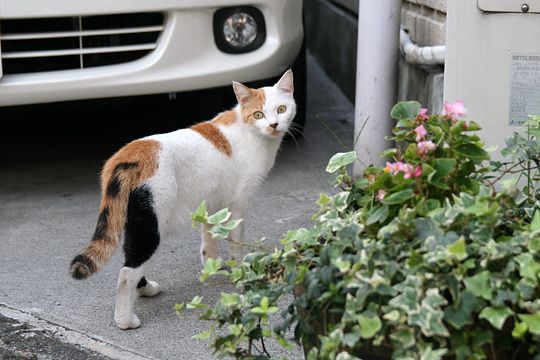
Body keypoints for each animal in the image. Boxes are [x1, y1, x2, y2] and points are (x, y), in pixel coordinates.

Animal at [69, 69, 298, 330]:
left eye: (281, 109)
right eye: (258, 114)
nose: (274, 124)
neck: (249, 129)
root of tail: (129, 157)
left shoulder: (212, 204)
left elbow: (209, 241)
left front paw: (213, 268)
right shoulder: (237, 206)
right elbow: (237, 244)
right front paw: (241, 273)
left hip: (134, 221)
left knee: (130, 258)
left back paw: (146, 289)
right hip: (151, 223)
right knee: (127, 272)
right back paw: (125, 320)